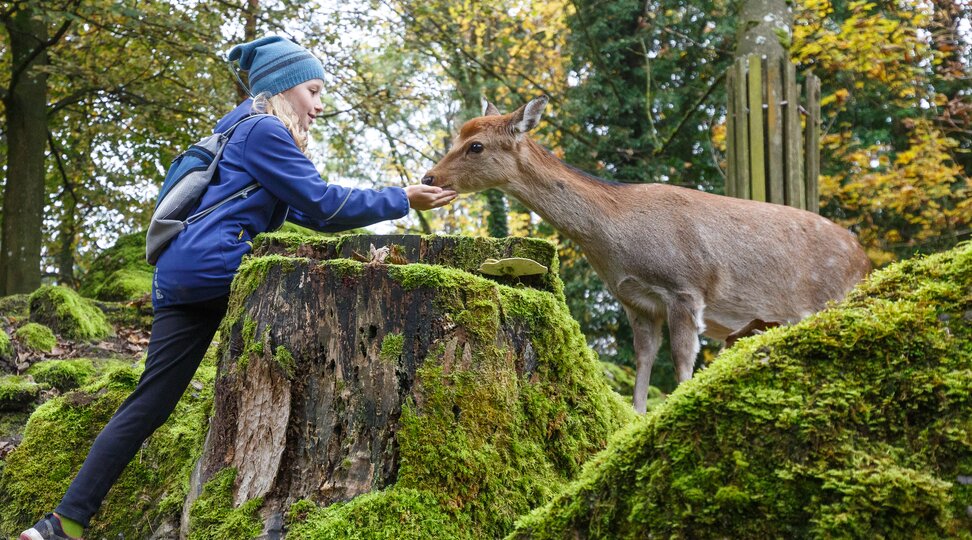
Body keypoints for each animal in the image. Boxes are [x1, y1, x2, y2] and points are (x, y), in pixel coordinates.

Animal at [422, 97, 868, 412]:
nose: (429, 177)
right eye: (458, 138)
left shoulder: (685, 287)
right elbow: (644, 359)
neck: (617, 240)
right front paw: (637, 416)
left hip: (830, 298)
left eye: (476, 145)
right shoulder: (635, 300)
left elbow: (683, 360)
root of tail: (864, 259)